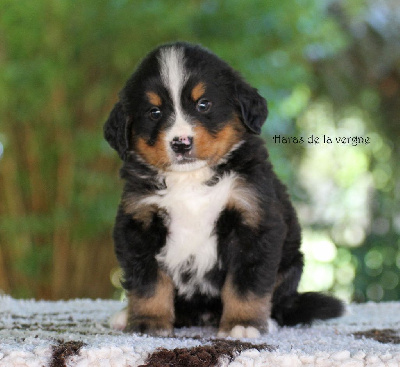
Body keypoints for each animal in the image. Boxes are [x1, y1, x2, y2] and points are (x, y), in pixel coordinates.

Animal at [104, 41, 344, 338]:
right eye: (154, 112)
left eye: (203, 104)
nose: (181, 142)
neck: (191, 181)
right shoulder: (138, 223)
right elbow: (148, 281)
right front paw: (149, 322)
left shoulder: (254, 221)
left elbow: (246, 283)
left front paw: (243, 324)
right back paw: (124, 315)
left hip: (291, 264)